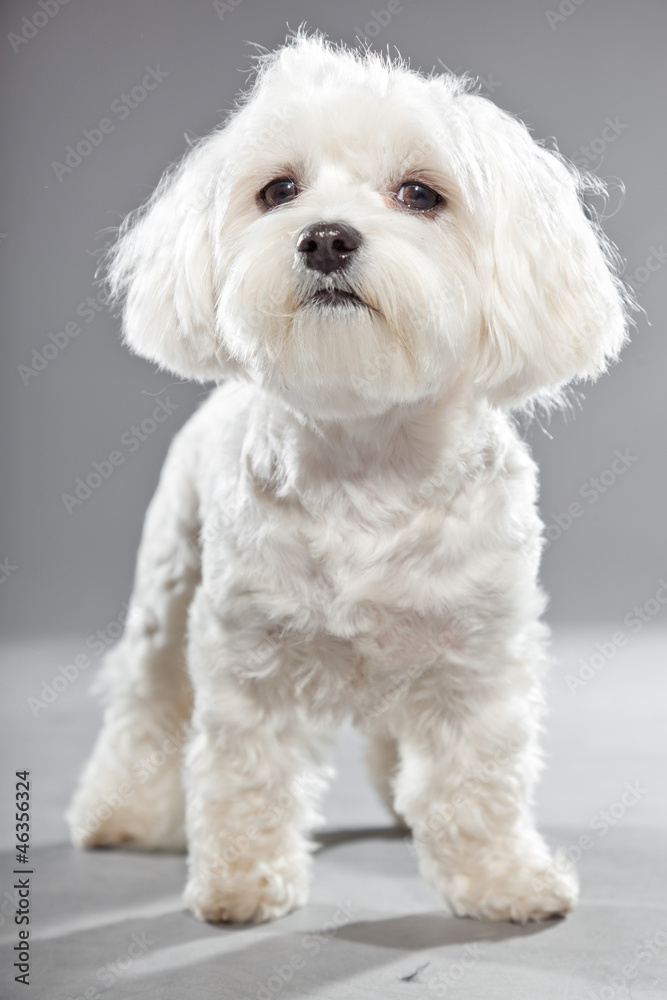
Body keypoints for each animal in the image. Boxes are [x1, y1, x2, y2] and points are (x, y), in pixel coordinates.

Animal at [68, 31, 632, 924]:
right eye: (279, 190)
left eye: (419, 193)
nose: (326, 237)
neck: (367, 456)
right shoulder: (246, 657)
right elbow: (243, 771)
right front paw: (240, 882)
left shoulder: (477, 656)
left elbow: (478, 779)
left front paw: (501, 881)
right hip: (166, 594)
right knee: (144, 704)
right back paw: (120, 812)